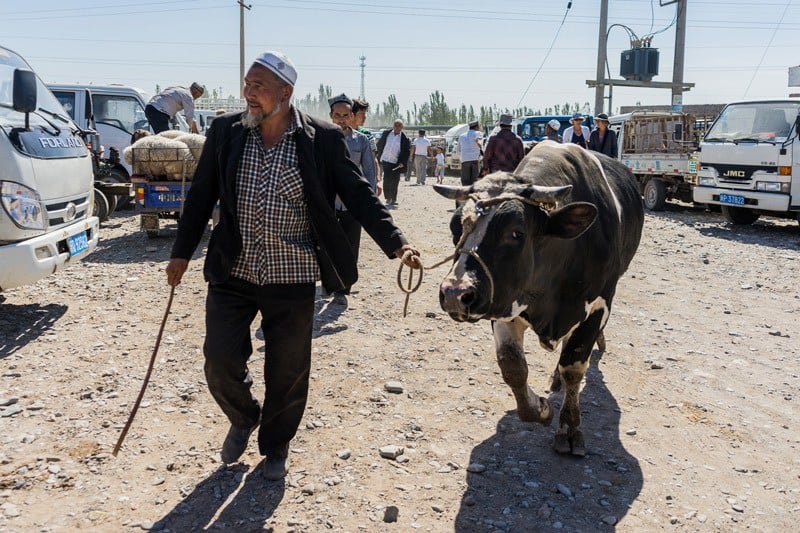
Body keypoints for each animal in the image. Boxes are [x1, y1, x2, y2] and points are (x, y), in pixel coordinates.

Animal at [432, 139, 644, 456]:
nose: (455, 293)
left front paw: (570, 429)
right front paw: (541, 410)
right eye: (456, 227)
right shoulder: (503, 303)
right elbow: (513, 367)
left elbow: (574, 367)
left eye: (516, 233)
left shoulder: (598, 307)